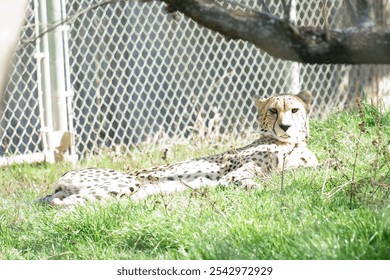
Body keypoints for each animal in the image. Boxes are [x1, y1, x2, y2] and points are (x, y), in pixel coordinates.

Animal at [38, 90, 318, 206]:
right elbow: (251, 181)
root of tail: (64, 175)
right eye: (273, 111)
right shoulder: (236, 175)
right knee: (65, 204)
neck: (291, 144)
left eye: (294, 110)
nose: (285, 126)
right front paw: (268, 192)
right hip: (125, 183)